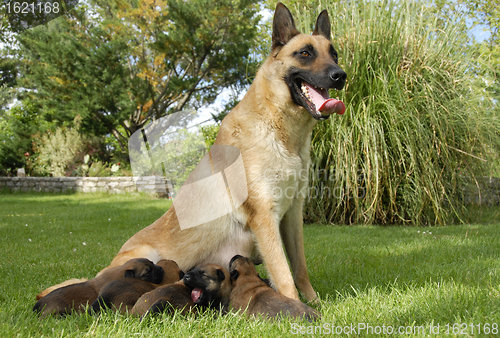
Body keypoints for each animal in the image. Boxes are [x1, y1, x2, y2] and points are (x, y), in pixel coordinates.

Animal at [39, 2, 346, 302]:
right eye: (305, 53)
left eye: (334, 55)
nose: (340, 75)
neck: (280, 130)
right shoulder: (265, 217)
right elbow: (283, 272)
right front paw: (296, 305)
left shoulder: (292, 215)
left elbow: (299, 266)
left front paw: (313, 300)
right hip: (146, 256)